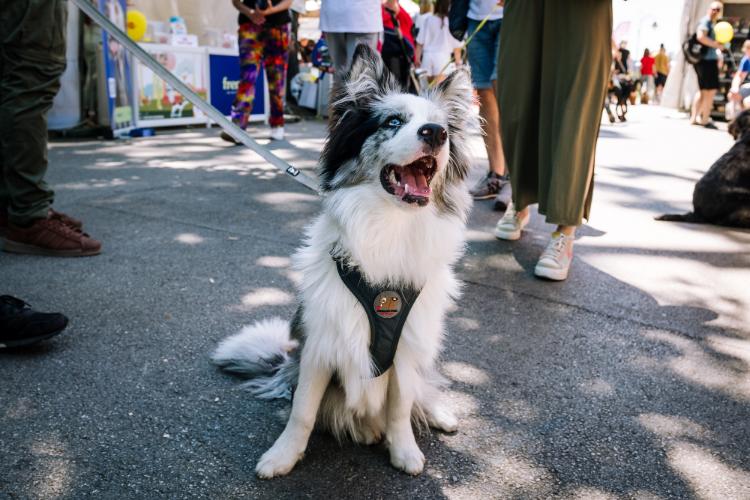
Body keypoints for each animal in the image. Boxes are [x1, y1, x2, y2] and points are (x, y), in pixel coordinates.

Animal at [212, 44, 476, 476]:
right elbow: (302, 411)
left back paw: (437, 414)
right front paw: (282, 456)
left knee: (420, 392)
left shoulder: (407, 346)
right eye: (393, 121)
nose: (436, 133)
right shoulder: (320, 342)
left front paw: (405, 453)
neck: (388, 227)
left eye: (443, 128)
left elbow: (400, 408)